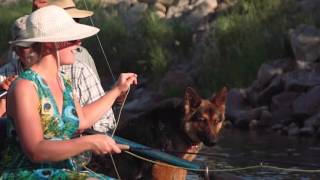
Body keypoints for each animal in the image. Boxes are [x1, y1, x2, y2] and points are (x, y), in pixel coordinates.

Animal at [89, 86, 226, 179]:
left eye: (216, 121)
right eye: (202, 120)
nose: (214, 142)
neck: (179, 127)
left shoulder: (180, 167)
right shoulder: (162, 168)